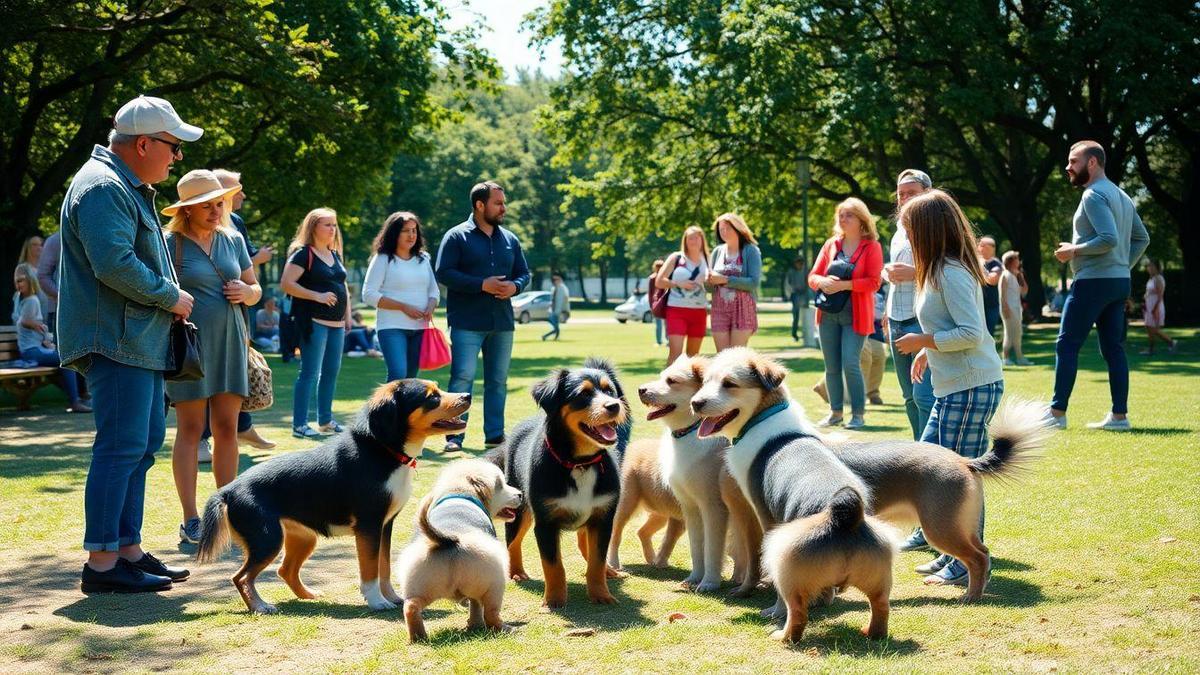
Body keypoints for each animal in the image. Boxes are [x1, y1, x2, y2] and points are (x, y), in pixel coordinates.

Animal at [195, 374, 468, 612]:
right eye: (431, 397)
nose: (467, 396)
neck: (382, 450)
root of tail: (228, 490)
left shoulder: (385, 526)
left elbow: (385, 567)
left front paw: (391, 597)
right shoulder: (369, 526)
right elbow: (370, 569)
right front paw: (377, 601)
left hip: (303, 538)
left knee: (285, 570)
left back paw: (308, 595)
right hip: (267, 539)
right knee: (241, 577)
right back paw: (260, 606)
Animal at [492, 357, 633, 605]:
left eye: (610, 391)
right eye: (583, 394)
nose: (614, 406)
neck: (580, 463)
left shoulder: (603, 518)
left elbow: (597, 559)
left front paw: (601, 593)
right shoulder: (546, 523)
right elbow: (553, 565)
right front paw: (554, 600)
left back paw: (608, 570)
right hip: (520, 507)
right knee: (513, 541)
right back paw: (516, 571)